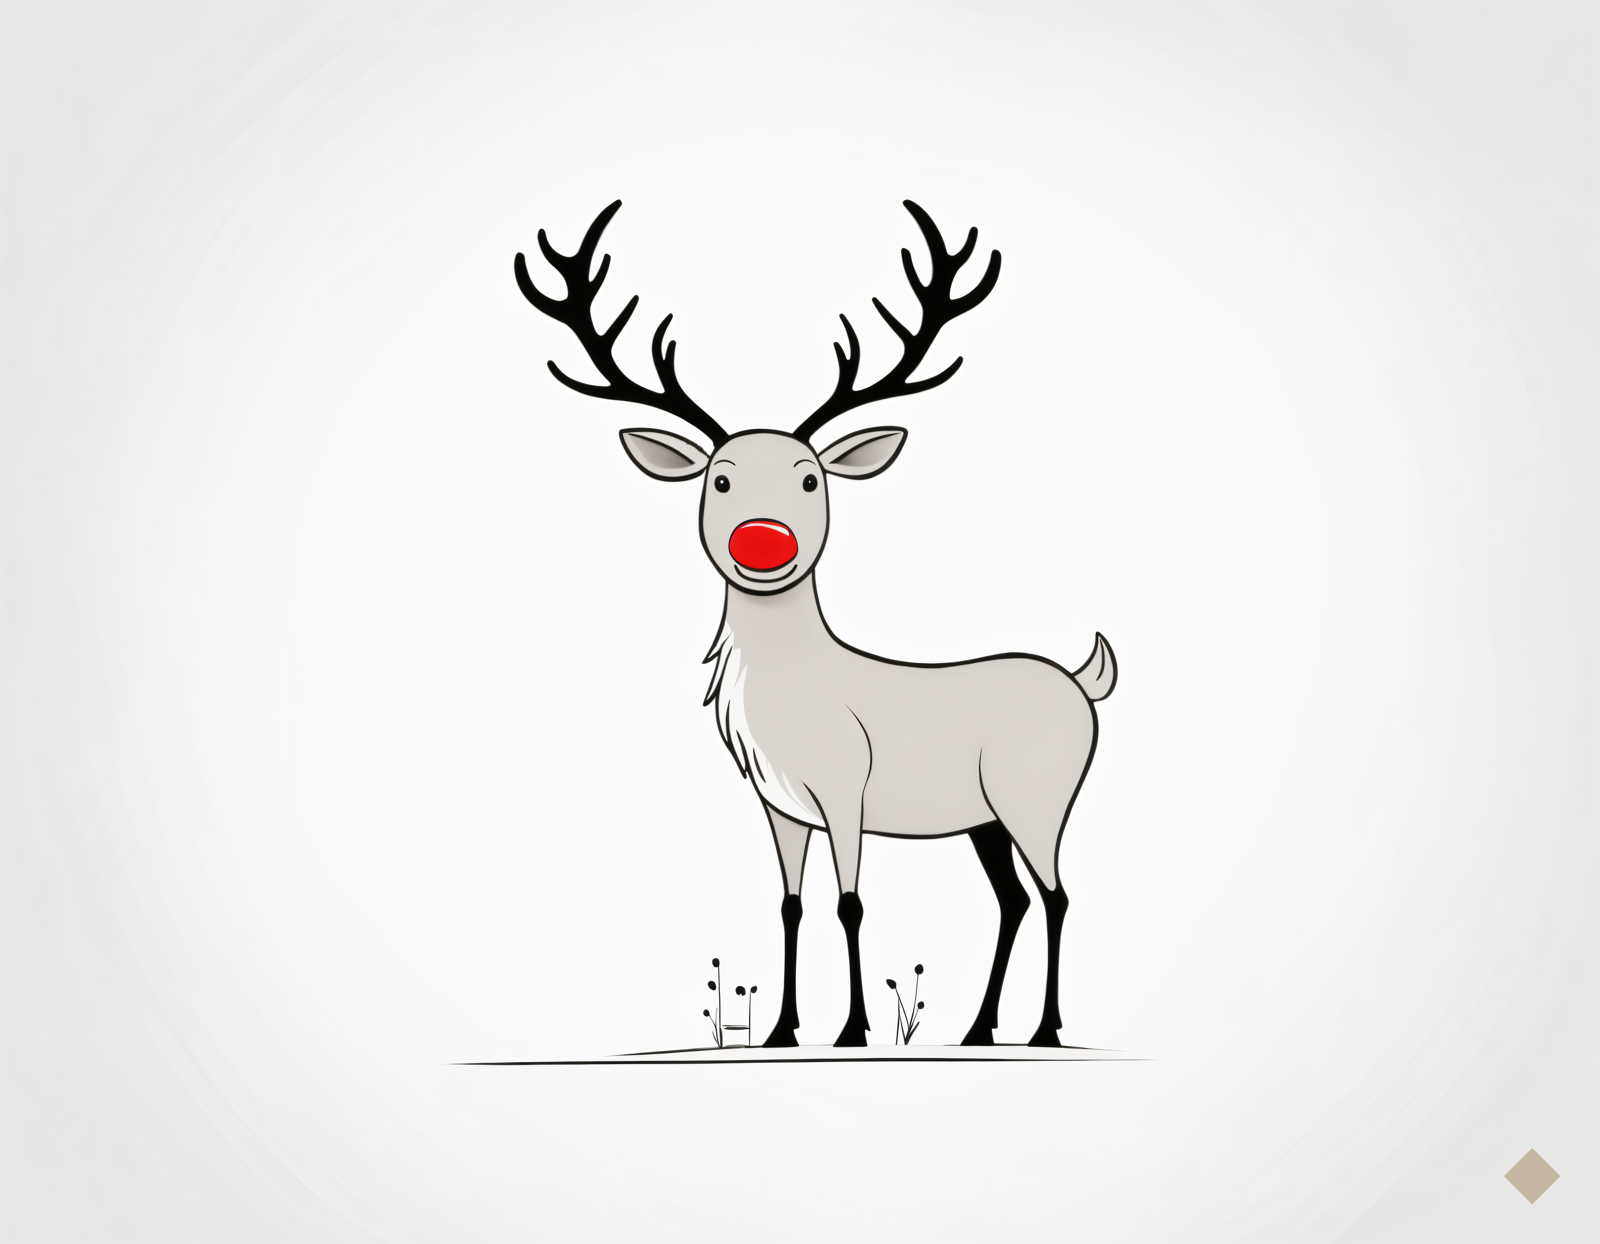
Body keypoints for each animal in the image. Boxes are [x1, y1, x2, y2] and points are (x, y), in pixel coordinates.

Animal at [514, 199, 1116, 1048]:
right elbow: (792, 904)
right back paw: (977, 1028)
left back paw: (1044, 1031)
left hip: (1039, 795)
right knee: (1015, 899)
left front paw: (853, 1029)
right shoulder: (779, 804)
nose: (763, 541)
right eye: (719, 479)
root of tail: (1083, 682)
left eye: (809, 478)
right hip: (984, 818)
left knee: (1057, 893)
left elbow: (851, 903)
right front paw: (782, 1029)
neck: (785, 700)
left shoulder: (844, 789)